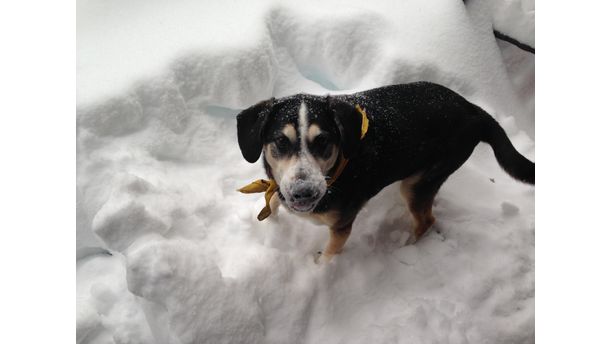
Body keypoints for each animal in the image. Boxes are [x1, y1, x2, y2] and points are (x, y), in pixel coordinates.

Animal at [237, 81, 532, 264]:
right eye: (280, 141)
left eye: (323, 141)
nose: (304, 193)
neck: (336, 173)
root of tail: (474, 110)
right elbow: (274, 201)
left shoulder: (342, 226)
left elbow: (327, 256)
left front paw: (318, 267)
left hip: (419, 183)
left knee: (426, 221)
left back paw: (406, 247)